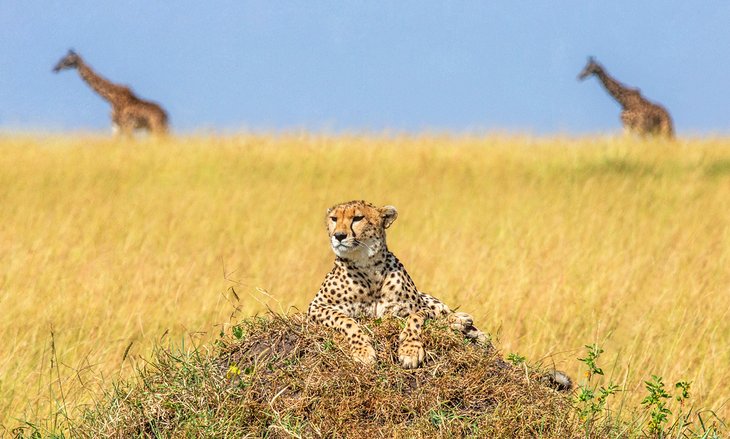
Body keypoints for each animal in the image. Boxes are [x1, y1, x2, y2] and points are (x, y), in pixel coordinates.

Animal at [306, 201, 484, 370]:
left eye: (357, 218)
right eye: (334, 219)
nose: (339, 236)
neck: (367, 267)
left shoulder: (417, 307)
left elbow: (415, 318)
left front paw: (410, 350)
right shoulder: (316, 307)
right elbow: (346, 320)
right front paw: (363, 351)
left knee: (443, 314)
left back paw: (463, 322)